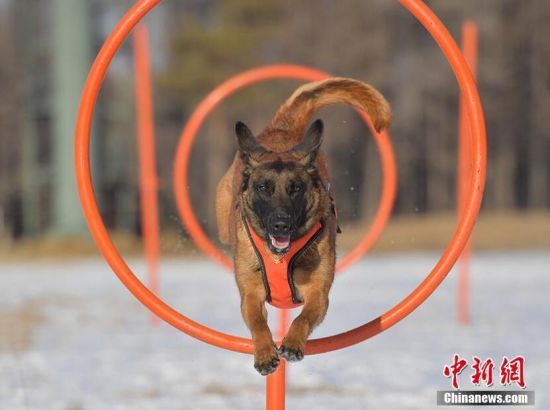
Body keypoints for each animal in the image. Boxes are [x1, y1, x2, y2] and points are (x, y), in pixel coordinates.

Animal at [215, 77, 391, 375]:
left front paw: (292, 344)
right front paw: (265, 353)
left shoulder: (319, 293)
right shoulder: (250, 294)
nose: (281, 225)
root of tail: (281, 131)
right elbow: (258, 323)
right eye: (264, 188)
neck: (280, 257)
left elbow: (304, 318)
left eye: (295, 188)